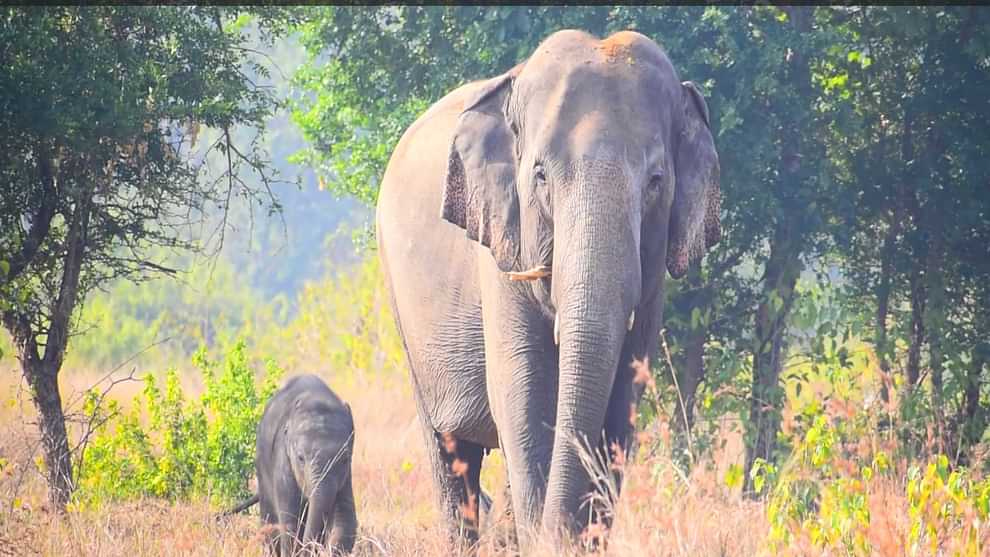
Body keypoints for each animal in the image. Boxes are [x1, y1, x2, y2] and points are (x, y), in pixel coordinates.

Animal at [258, 374, 358, 556]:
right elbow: (291, 523)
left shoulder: (346, 476)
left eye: (345, 459)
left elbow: (345, 521)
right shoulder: (283, 461)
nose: (311, 547)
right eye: (300, 458)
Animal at [378, 29, 720, 548]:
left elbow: (621, 407)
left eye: (656, 182)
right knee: (448, 449)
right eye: (540, 175)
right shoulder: (501, 251)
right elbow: (525, 396)